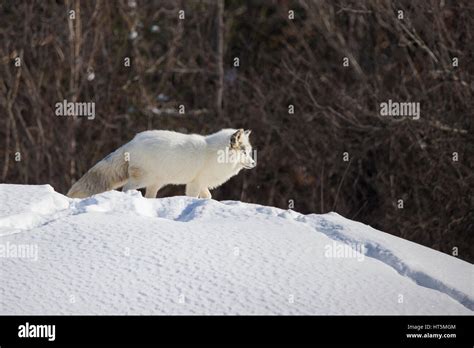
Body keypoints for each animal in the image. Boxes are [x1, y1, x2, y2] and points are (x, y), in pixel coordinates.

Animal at [66, 128, 256, 198]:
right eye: (244, 152)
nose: (254, 163)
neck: (215, 154)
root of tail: (132, 142)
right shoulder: (195, 184)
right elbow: (193, 198)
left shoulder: (201, 184)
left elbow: (208, 198)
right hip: (142, 180)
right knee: (126, 188)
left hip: (156, 183)